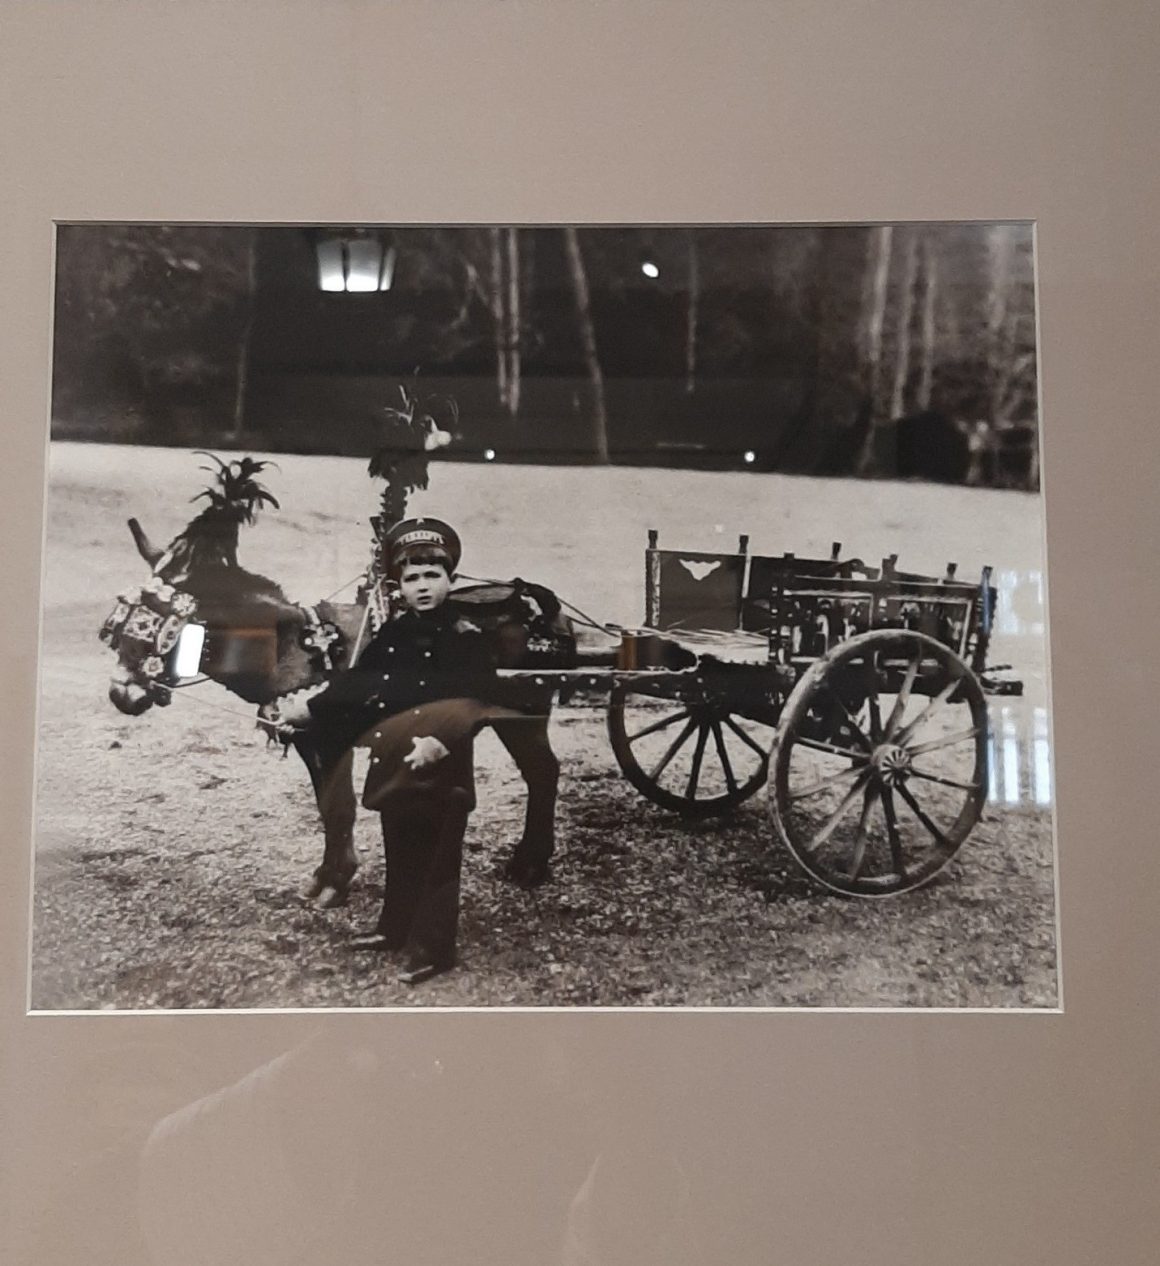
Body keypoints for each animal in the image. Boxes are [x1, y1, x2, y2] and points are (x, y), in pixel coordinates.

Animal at [103, 458, 561, 908]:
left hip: (522, 715)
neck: (294, 650)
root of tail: (530, 600)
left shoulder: (333, 741)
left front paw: (335, 883)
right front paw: (327, 876)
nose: (121, 694)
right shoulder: (311, 744)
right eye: (117, 627)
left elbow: (340, 809)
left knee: (543, 772)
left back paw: (530, 865)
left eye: (161, 629)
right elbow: (327, 809)